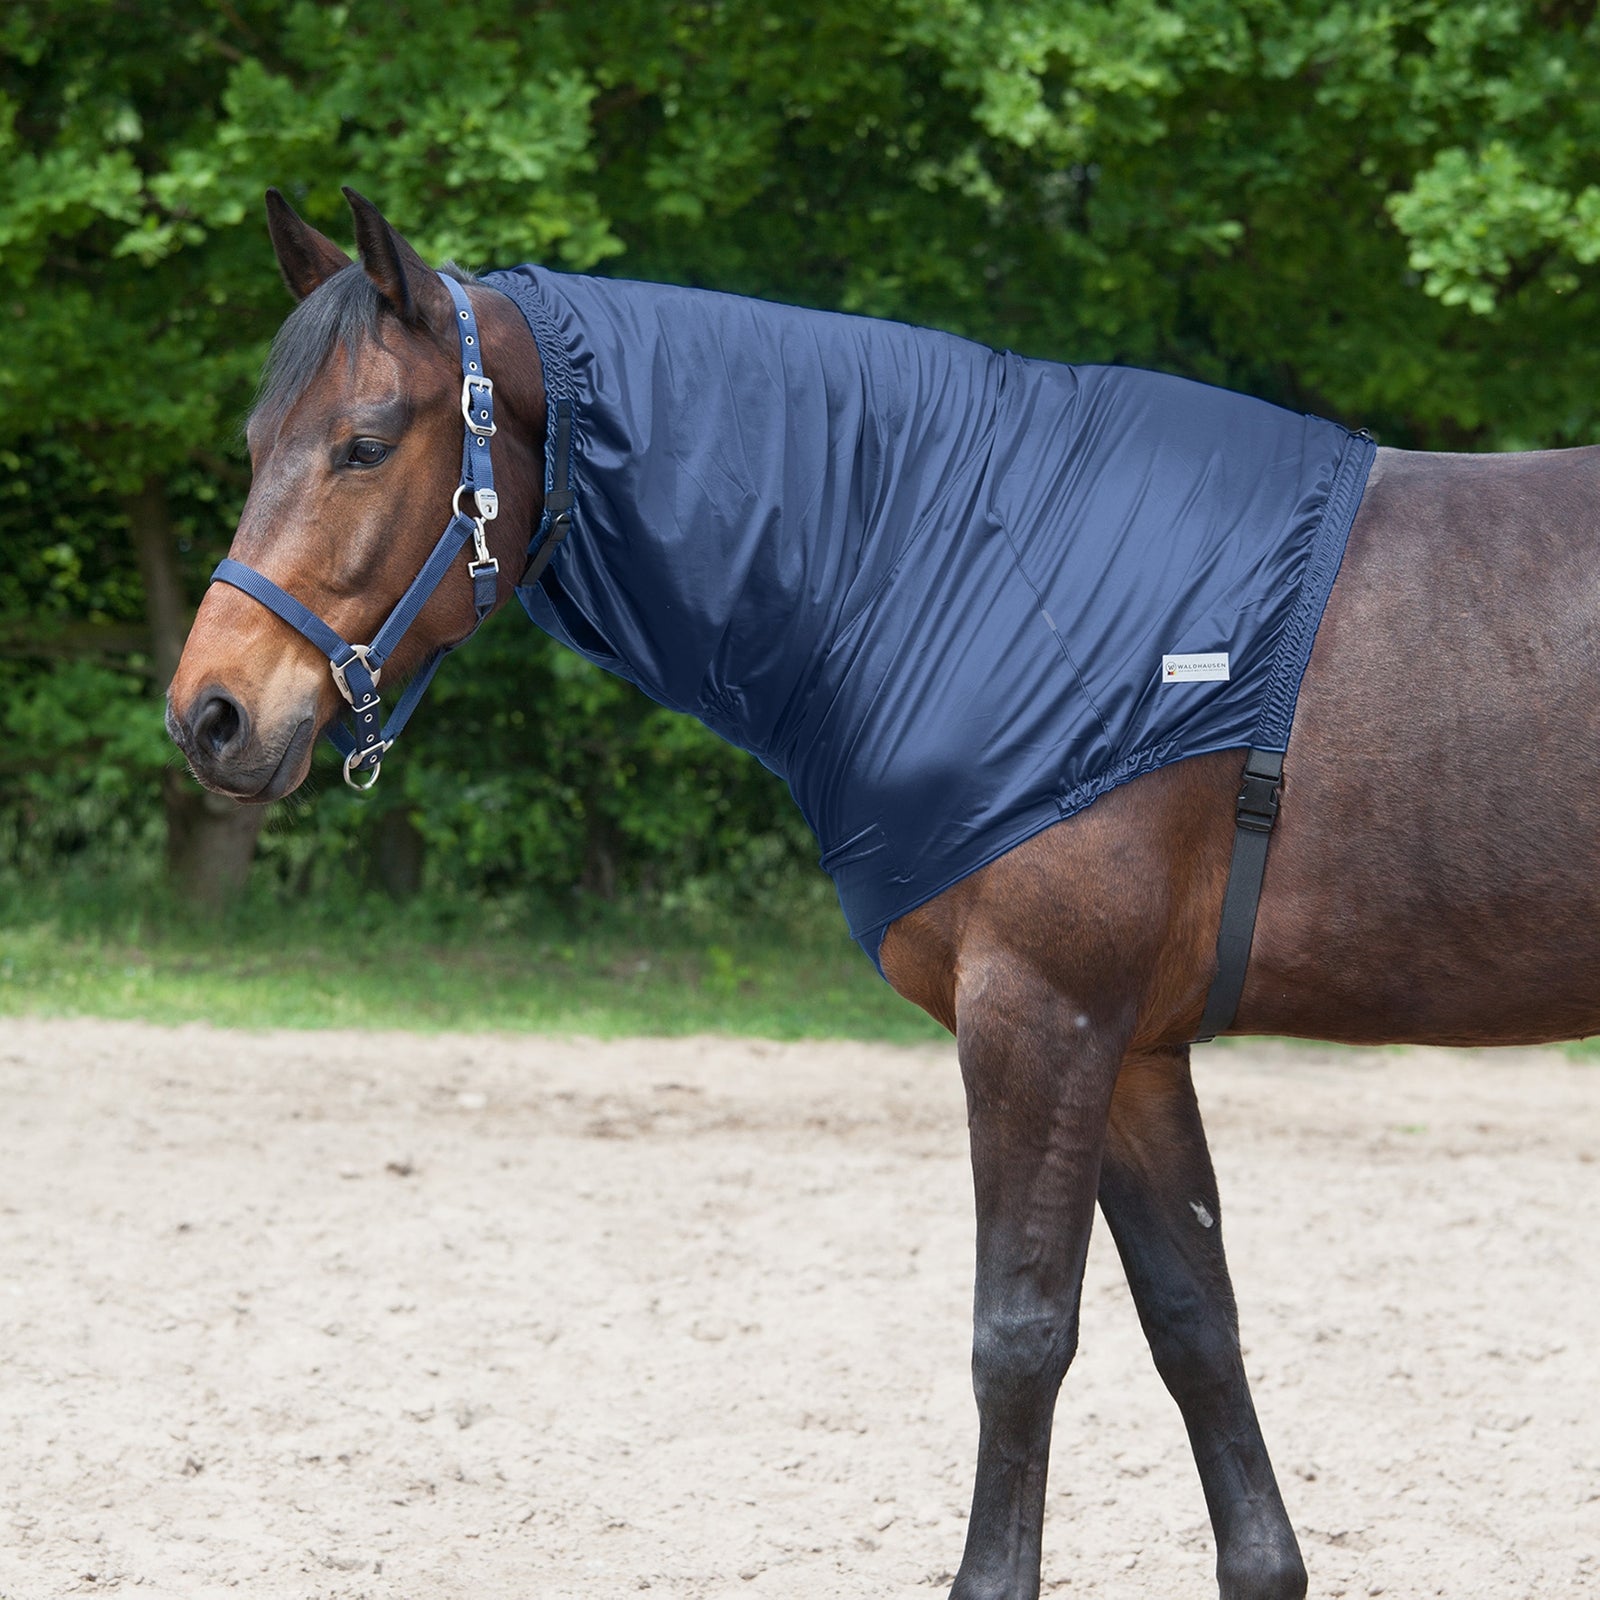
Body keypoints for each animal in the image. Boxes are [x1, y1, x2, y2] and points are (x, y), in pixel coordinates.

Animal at [166, 188, 1600, 1600]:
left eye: (362, 444)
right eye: (254, 439)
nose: (210, 715)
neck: (944, 553)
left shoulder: (1041, 1020)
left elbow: (1019, 1337)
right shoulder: (1133, 1048)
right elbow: (1196, 1326)